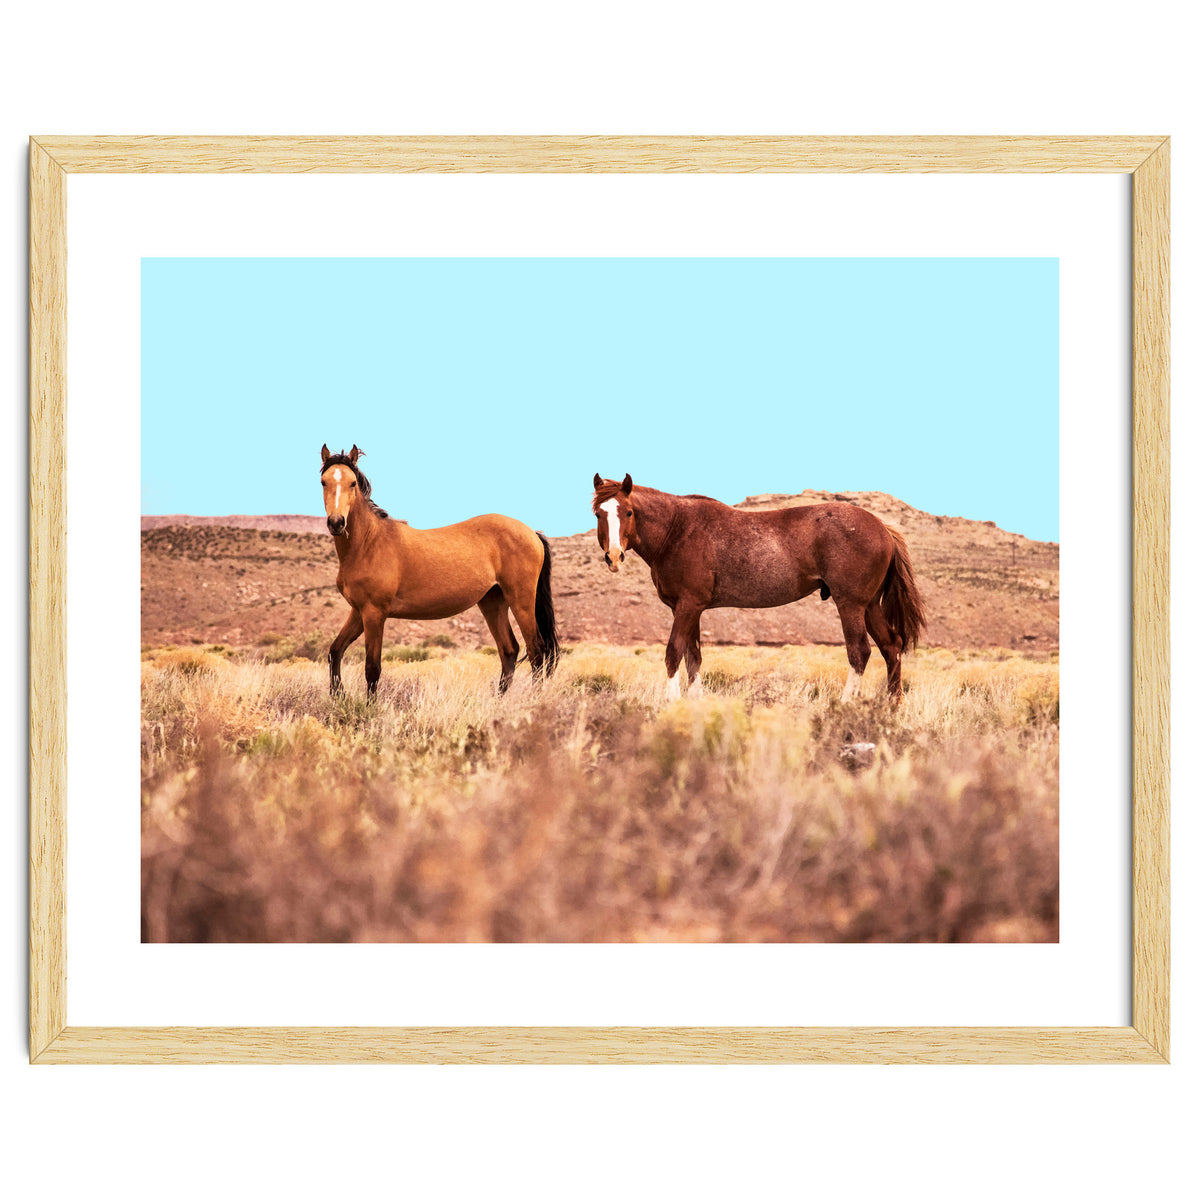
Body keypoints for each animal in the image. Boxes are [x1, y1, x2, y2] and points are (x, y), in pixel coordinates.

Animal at [319, 444, 559, 697]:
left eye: (352, 483)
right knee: (509, 650)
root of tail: (532, 532)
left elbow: (372, 668)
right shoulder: (358, 611)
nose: (336, 523)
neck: (369, 543)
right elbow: (335, 651)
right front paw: (338, 695)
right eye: (324, 482)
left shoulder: (374, 613)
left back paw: (533, 699)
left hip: (521, 600)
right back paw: (499, 700)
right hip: (492, 602)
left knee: (536, 651)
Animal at [591, 473, 927, 701]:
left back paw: (845, 705)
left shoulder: (687, 606)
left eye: (628, 512)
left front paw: (672, 702)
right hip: (869, 606)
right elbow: (693, 657)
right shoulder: (691, 609)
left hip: (851, 605)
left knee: (860, 652)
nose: (614, 556)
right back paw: (891, 707)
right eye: (598, 513)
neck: (678, 529)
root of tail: (882, 528)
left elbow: (674, 652)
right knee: (891, 647)